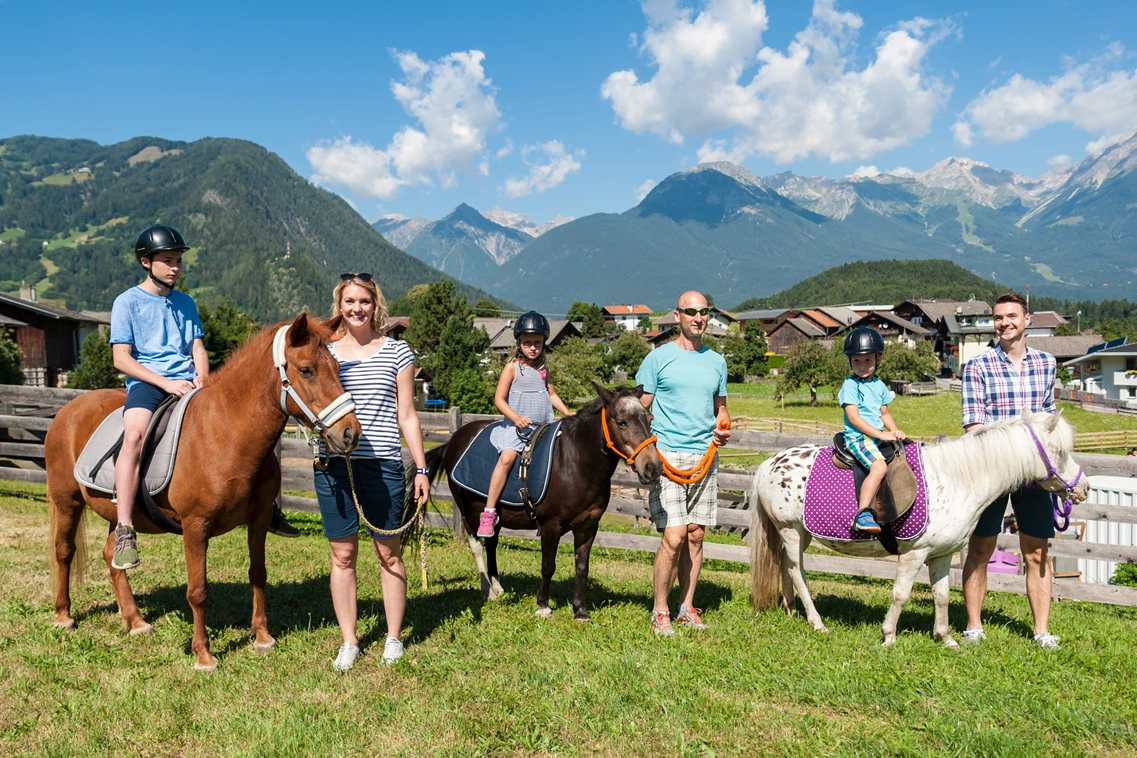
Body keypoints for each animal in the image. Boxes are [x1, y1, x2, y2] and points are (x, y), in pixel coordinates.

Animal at [45, 313, 359, 668]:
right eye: (306, 370)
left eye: (337, 367)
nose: (350, 433)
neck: (224, 432)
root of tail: (69, 409)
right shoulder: (195, 526)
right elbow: (198, 590)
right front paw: (203, 654)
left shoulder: (259, 520)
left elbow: (258, 574)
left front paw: (262, 637)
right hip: (66, 502)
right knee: (64, 552)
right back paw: (64, 617)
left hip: (119, 515)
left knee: (113, 556)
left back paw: (136, 621)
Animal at [422, 381, 664, 618]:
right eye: (622, 422)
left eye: (650, 419)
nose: (652, 467)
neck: (575, 462)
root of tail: (454, 440)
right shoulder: (550, 526)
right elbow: (548, 566)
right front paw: (543, 605)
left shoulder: (588, 527)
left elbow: (582, 567)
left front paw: (579, 609)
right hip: (469, 512)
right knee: (476, 545)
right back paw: (486, 590)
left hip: (494, 515)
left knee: (491, 543)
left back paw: (497, 586)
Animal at [750, 411, 1086, 650]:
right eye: (1060, 452)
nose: (1083, 487)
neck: (954, 479)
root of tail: (770, 463)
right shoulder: (914, 553)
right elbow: (900, 594)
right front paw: (889, 636)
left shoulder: (941, 554)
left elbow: (941, 595)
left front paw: (945, 638)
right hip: (791, 530)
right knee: (797, 570)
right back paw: (817, 622)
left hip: (801, 534)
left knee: (786, 566)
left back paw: (792, 610)